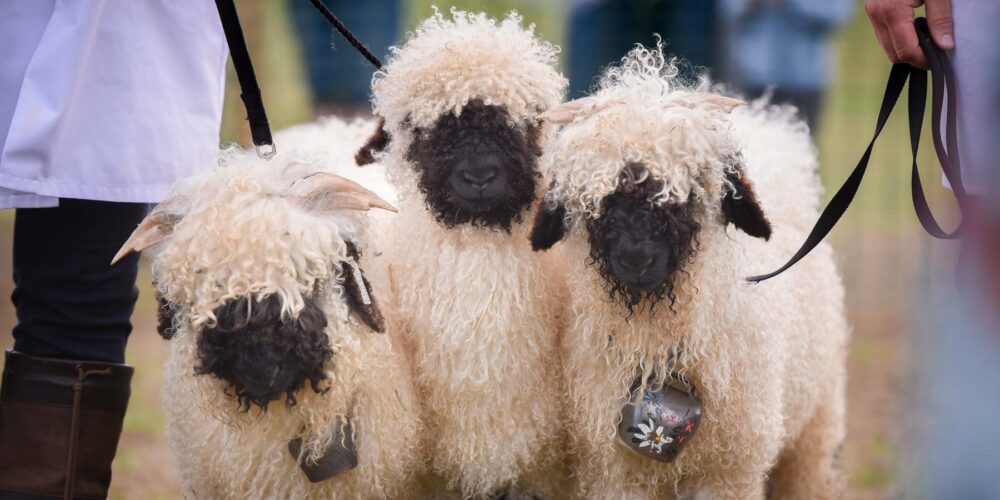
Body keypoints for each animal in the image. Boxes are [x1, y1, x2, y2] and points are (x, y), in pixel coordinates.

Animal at [530, 44, 849, 499]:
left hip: (814, 431)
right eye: (596, 199)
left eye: (688, 191)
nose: (636, 259)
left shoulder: (730, 474)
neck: (659, 346)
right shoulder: (615, 473)